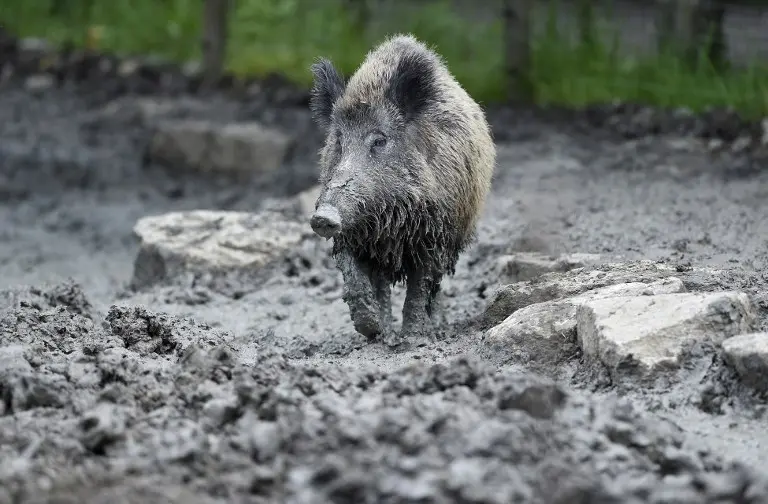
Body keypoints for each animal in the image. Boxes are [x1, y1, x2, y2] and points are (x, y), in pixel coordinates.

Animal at [308, 33, 496, 345]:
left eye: (380, 140)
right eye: (339, 140)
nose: (323, 217)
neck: (388, 220)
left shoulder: (436, 236)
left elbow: (419, 289)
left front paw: (413, 338)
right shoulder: (351, 236)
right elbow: (357, 280)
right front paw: (374, 331)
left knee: (434, 289)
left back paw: (435, 328)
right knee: (384, 286)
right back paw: (385, 334)